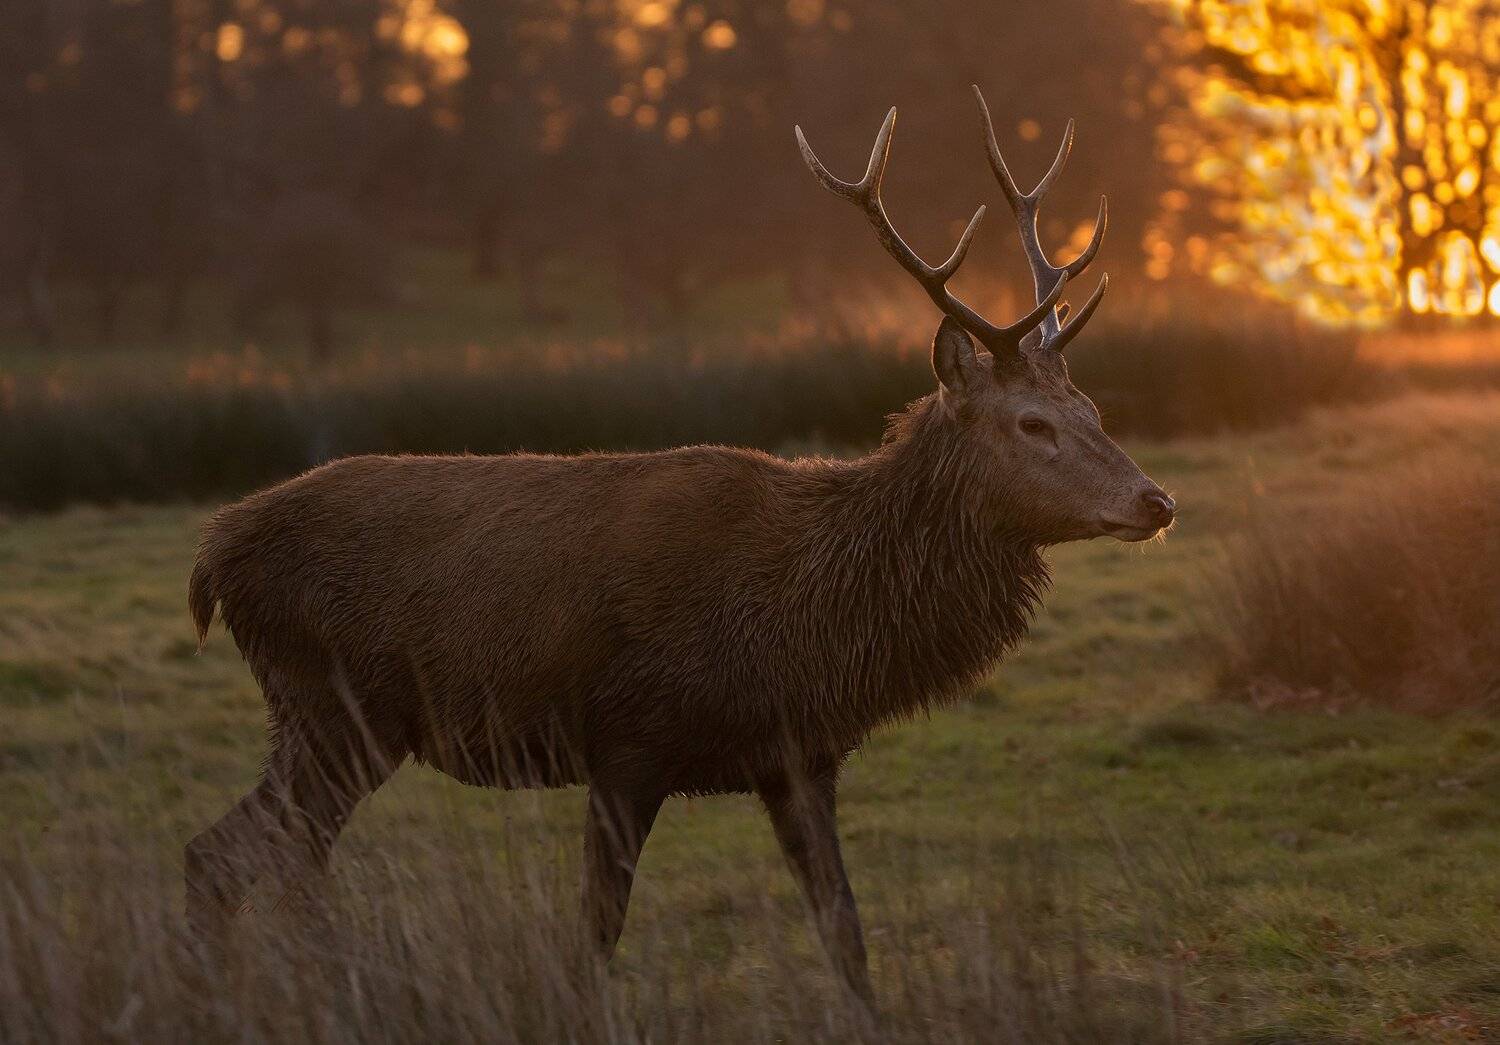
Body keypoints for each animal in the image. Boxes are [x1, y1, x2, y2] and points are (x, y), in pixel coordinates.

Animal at [183, 86, 1175, 1014]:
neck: (799, 625)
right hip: (331, 704)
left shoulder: (798, 758)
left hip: (323, 720)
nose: (1155, 499)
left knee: (238, 855)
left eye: (1093, 410)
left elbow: (844, 927)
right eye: (1033, 422)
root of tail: (213, 554)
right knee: (252, 857)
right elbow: (594, 935)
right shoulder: (626, 741)